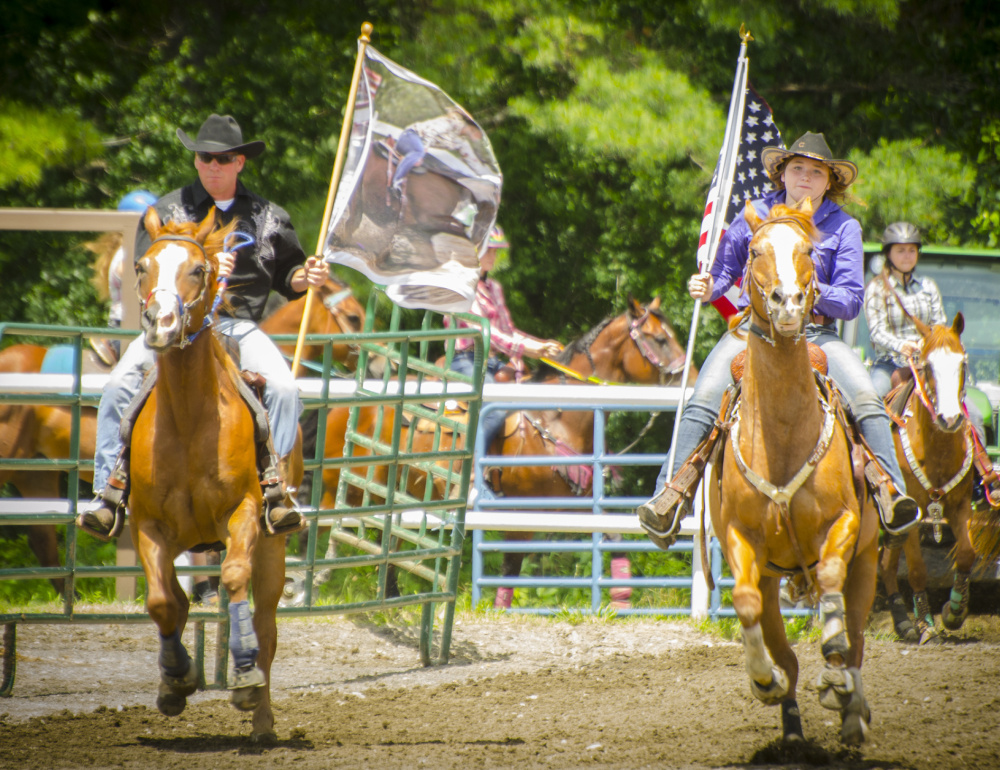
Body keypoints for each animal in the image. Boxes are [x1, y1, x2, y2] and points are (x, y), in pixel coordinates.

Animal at [129, 207, 292, 736]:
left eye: (198, 270)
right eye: (142, 266)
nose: (160, 323)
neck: (188, 418)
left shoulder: (243, 513)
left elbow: (235, 577)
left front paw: (244, 678)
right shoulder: (148, 524)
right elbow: (163, 603)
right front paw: (176, 680)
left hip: (274, 545)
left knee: (266, 623)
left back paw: (261, 718)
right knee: (179, 604)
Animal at [708, 200, 880, 744]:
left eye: (808, 250)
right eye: (754, 251)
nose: (787, 303)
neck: (782, 435)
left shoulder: (844, 525)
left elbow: (829, 580)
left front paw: (836, 675)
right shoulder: (741, 541)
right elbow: (744, 604)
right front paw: (764, 680)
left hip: (870, 557)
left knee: (858, 632)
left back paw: (851, 708)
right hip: (772, 577)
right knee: (783, 643)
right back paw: (791, 730)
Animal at [880, 312, 996, 640]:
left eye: (962, 363)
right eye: (926, 366)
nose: (949, 418)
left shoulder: (959, 505)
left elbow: (967, 554)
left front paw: (954, 611)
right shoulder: (913, 512)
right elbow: (917, 568)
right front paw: (925, 624)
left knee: (886, 564)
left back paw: (902, 622)